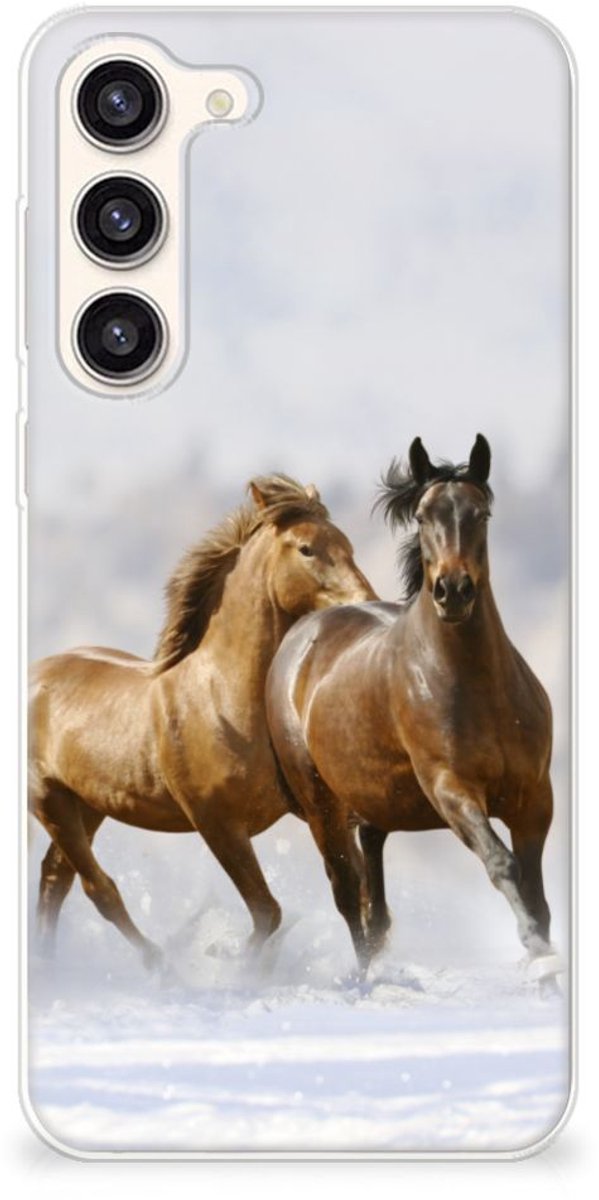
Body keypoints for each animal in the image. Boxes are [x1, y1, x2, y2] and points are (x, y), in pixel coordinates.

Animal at [29, 474, 376, 967]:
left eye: (347, 544)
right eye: (307, 548)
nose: (367, 603)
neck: (222, 700)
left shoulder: (318, 809)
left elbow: (352, 891)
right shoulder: (217, 824)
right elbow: (268, 911)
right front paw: (231, 961)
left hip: (88, 804)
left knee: (55, 879)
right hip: (49, 800)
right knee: (99, 889)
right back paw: (157, 963)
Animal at [266, 436, 555, 973]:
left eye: (481, 513)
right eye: (422, 516)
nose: (453, 591)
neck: (480, 689)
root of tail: (301, 635)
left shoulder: (534, 799)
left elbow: (537, 895)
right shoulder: (451, 789)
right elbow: (502, 864)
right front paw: (537, 951)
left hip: (372, 804)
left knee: (373, 900)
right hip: (322, 806)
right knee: (347, 895)